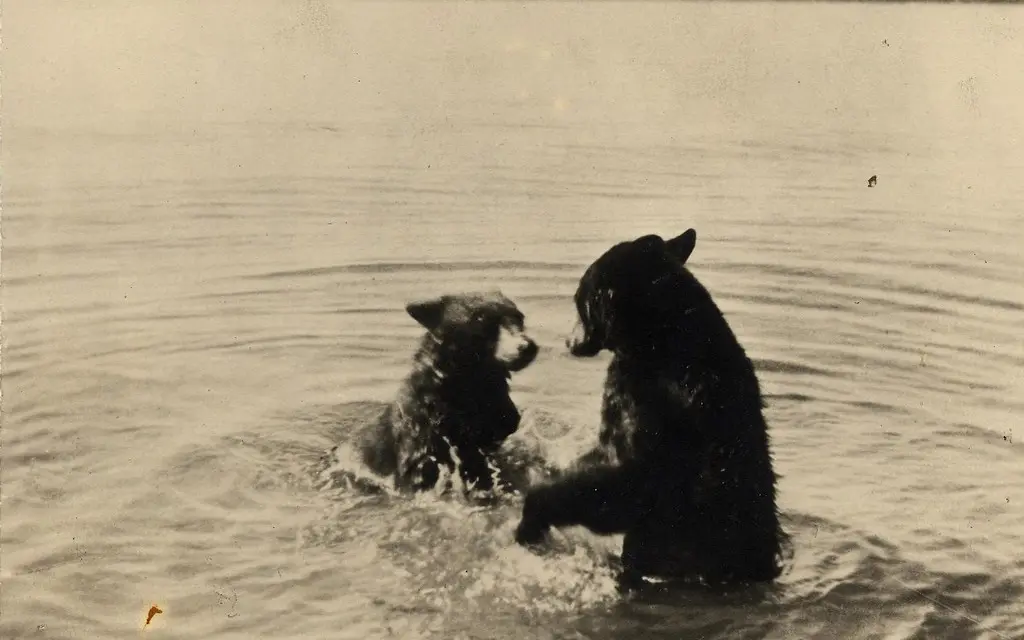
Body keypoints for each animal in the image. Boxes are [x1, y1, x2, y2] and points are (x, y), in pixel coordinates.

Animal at [513, 229, 784, 586]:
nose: (568, 342)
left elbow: (627, 486)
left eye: (578, 301)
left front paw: (532, 513)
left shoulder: (653, 407)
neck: (663, 337)